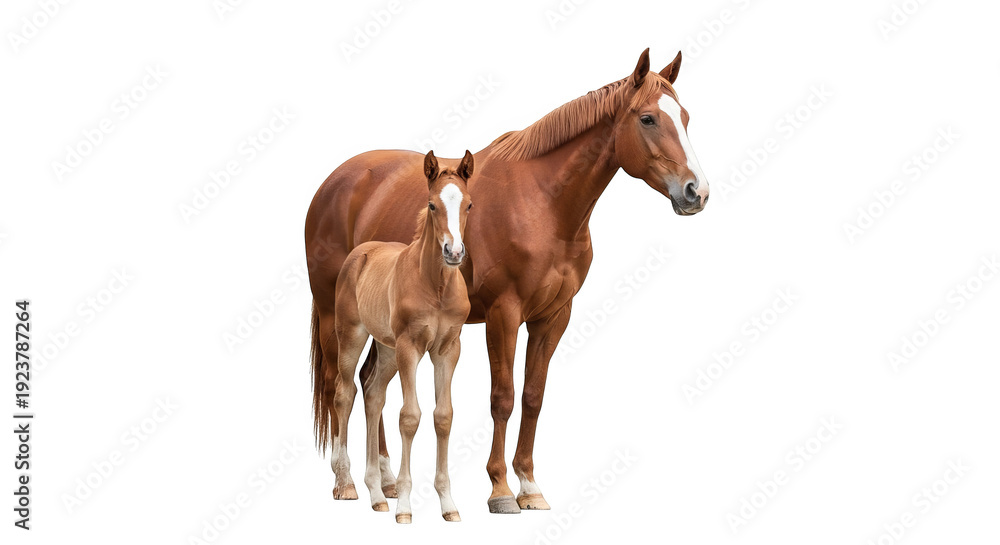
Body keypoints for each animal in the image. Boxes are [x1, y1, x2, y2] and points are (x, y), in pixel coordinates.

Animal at [305, 48, 709, 514]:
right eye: (647, 118)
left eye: (685, 117)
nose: (697, 192)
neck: (544, 204)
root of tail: (335, 182)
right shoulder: (503, 314)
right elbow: (503, 397)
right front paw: (499, 490)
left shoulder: (553, 317)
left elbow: (533, 396)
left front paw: (529, 486)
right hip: (335, 316)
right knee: (339, 384)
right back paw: (346, 481)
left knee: (374, 383)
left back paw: (386, 482)